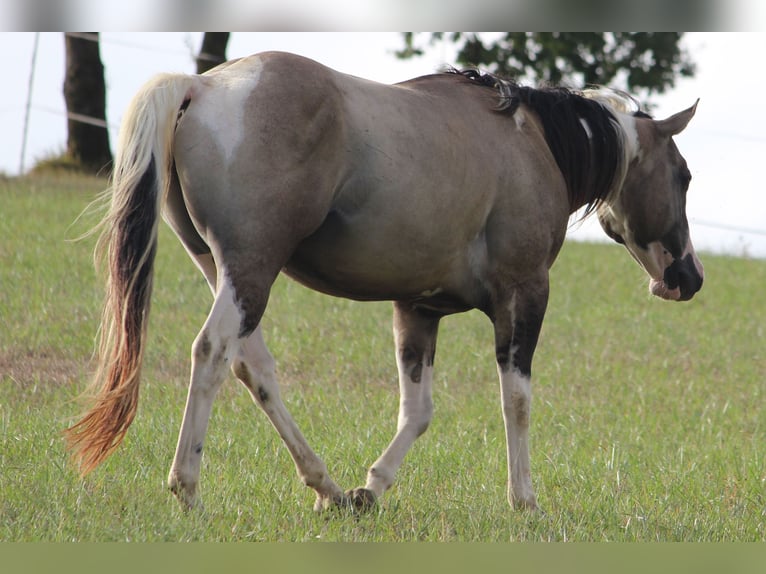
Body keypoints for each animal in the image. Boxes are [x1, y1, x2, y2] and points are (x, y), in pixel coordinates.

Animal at [64, 51, 703, 513]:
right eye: (684, 175)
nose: (688, 278)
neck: (531, 143)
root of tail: (201, 85)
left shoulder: (417, 309)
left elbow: (417, 411)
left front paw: (371, 489)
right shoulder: (524, 297)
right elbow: (516, 400)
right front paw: (524, 500)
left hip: (224, 271)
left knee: (254, 367)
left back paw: (327, 487)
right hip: (250, 270)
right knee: (213, 352)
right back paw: (189, 486)